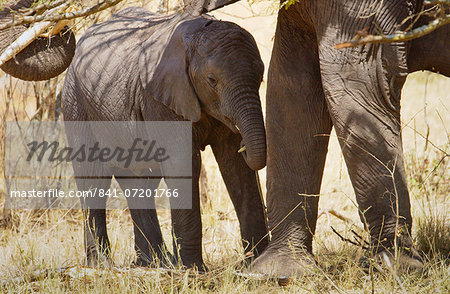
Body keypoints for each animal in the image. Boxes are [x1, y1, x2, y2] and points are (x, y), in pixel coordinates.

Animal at [62, 6, 268, 268]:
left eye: (261, 76)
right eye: (212, 80)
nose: (244, 141)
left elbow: (234, 165)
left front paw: (256, 262)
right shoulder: (158, 96)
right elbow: (184, 163)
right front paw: (193, 269)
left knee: (139, 179)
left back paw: (154, 262)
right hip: (75, 100)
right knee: (94, 177)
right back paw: (101, 264)